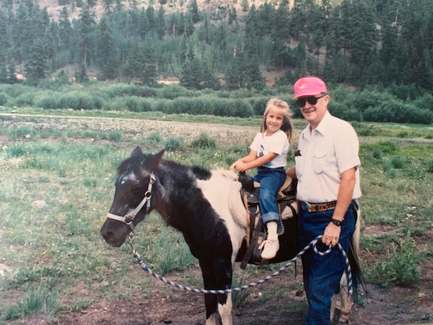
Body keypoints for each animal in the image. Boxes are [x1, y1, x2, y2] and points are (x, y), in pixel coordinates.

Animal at [101, 147, 362, 324]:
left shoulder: (223, 263)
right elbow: (209, 303)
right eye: (116, 185)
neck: (206, 207)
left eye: (136, 187)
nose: (108, 233)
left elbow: (223, 307)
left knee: (337, 282)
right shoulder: (205, 262)